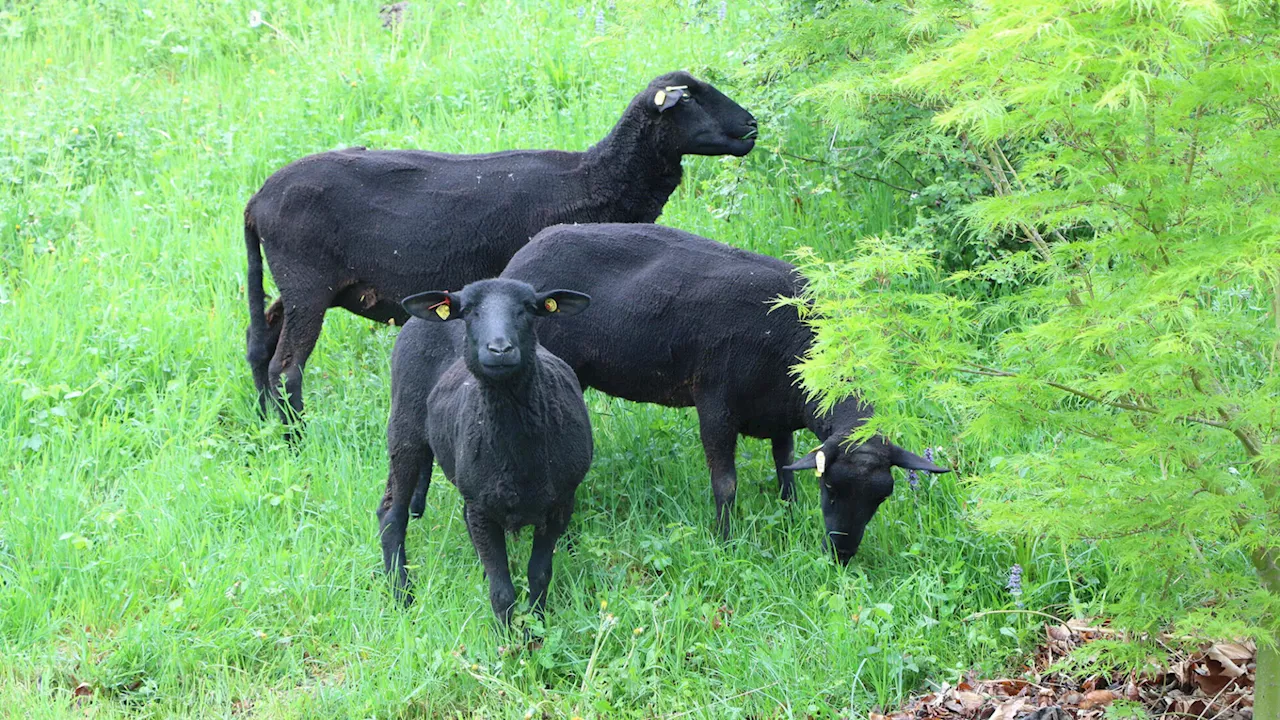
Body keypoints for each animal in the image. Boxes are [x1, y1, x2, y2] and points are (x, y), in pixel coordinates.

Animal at [244, 70, 752, 422]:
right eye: (691, 98)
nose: (752, 126)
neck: (595, 180)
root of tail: (258, 199)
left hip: (297, 285)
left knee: (260, 341)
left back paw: (268, 426)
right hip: (307, 282)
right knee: (285, 368)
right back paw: (296, 438)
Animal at [376, 274, 591, 622]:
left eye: (528, 308)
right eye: (469, 312)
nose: (500, 349)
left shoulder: (559, 504)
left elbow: (539, 574)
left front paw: (536, 625)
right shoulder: (482, 509)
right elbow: (502, 591)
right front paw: (507, 635)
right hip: (404, 426)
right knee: (391, 515)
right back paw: (402, 595)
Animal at [499, 224, 952, 561]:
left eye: (881, 498)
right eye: (830, 489)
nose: (842, 555)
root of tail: (524, 254)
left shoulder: (778, 413)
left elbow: (785, 467)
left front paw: (789, 517)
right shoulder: (716, 403)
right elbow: (726, 484)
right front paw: (725, 540)